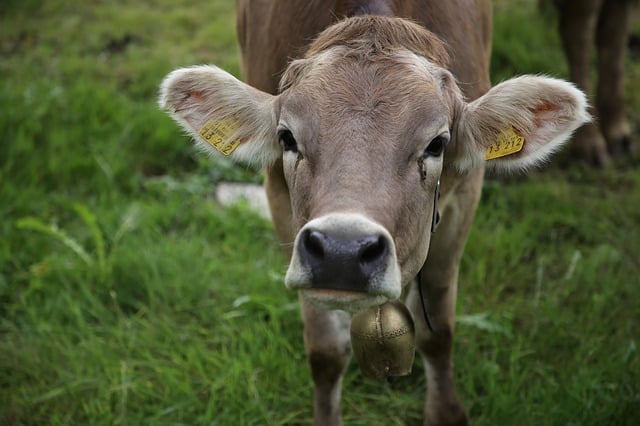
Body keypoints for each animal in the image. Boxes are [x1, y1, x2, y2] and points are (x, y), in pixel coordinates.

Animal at [159, 1, 592, 424]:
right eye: (287, 137)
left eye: (437, 144)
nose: (342, 252)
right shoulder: (279, 200)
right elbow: (325, 351)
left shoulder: (465, 195)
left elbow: (438, 331)